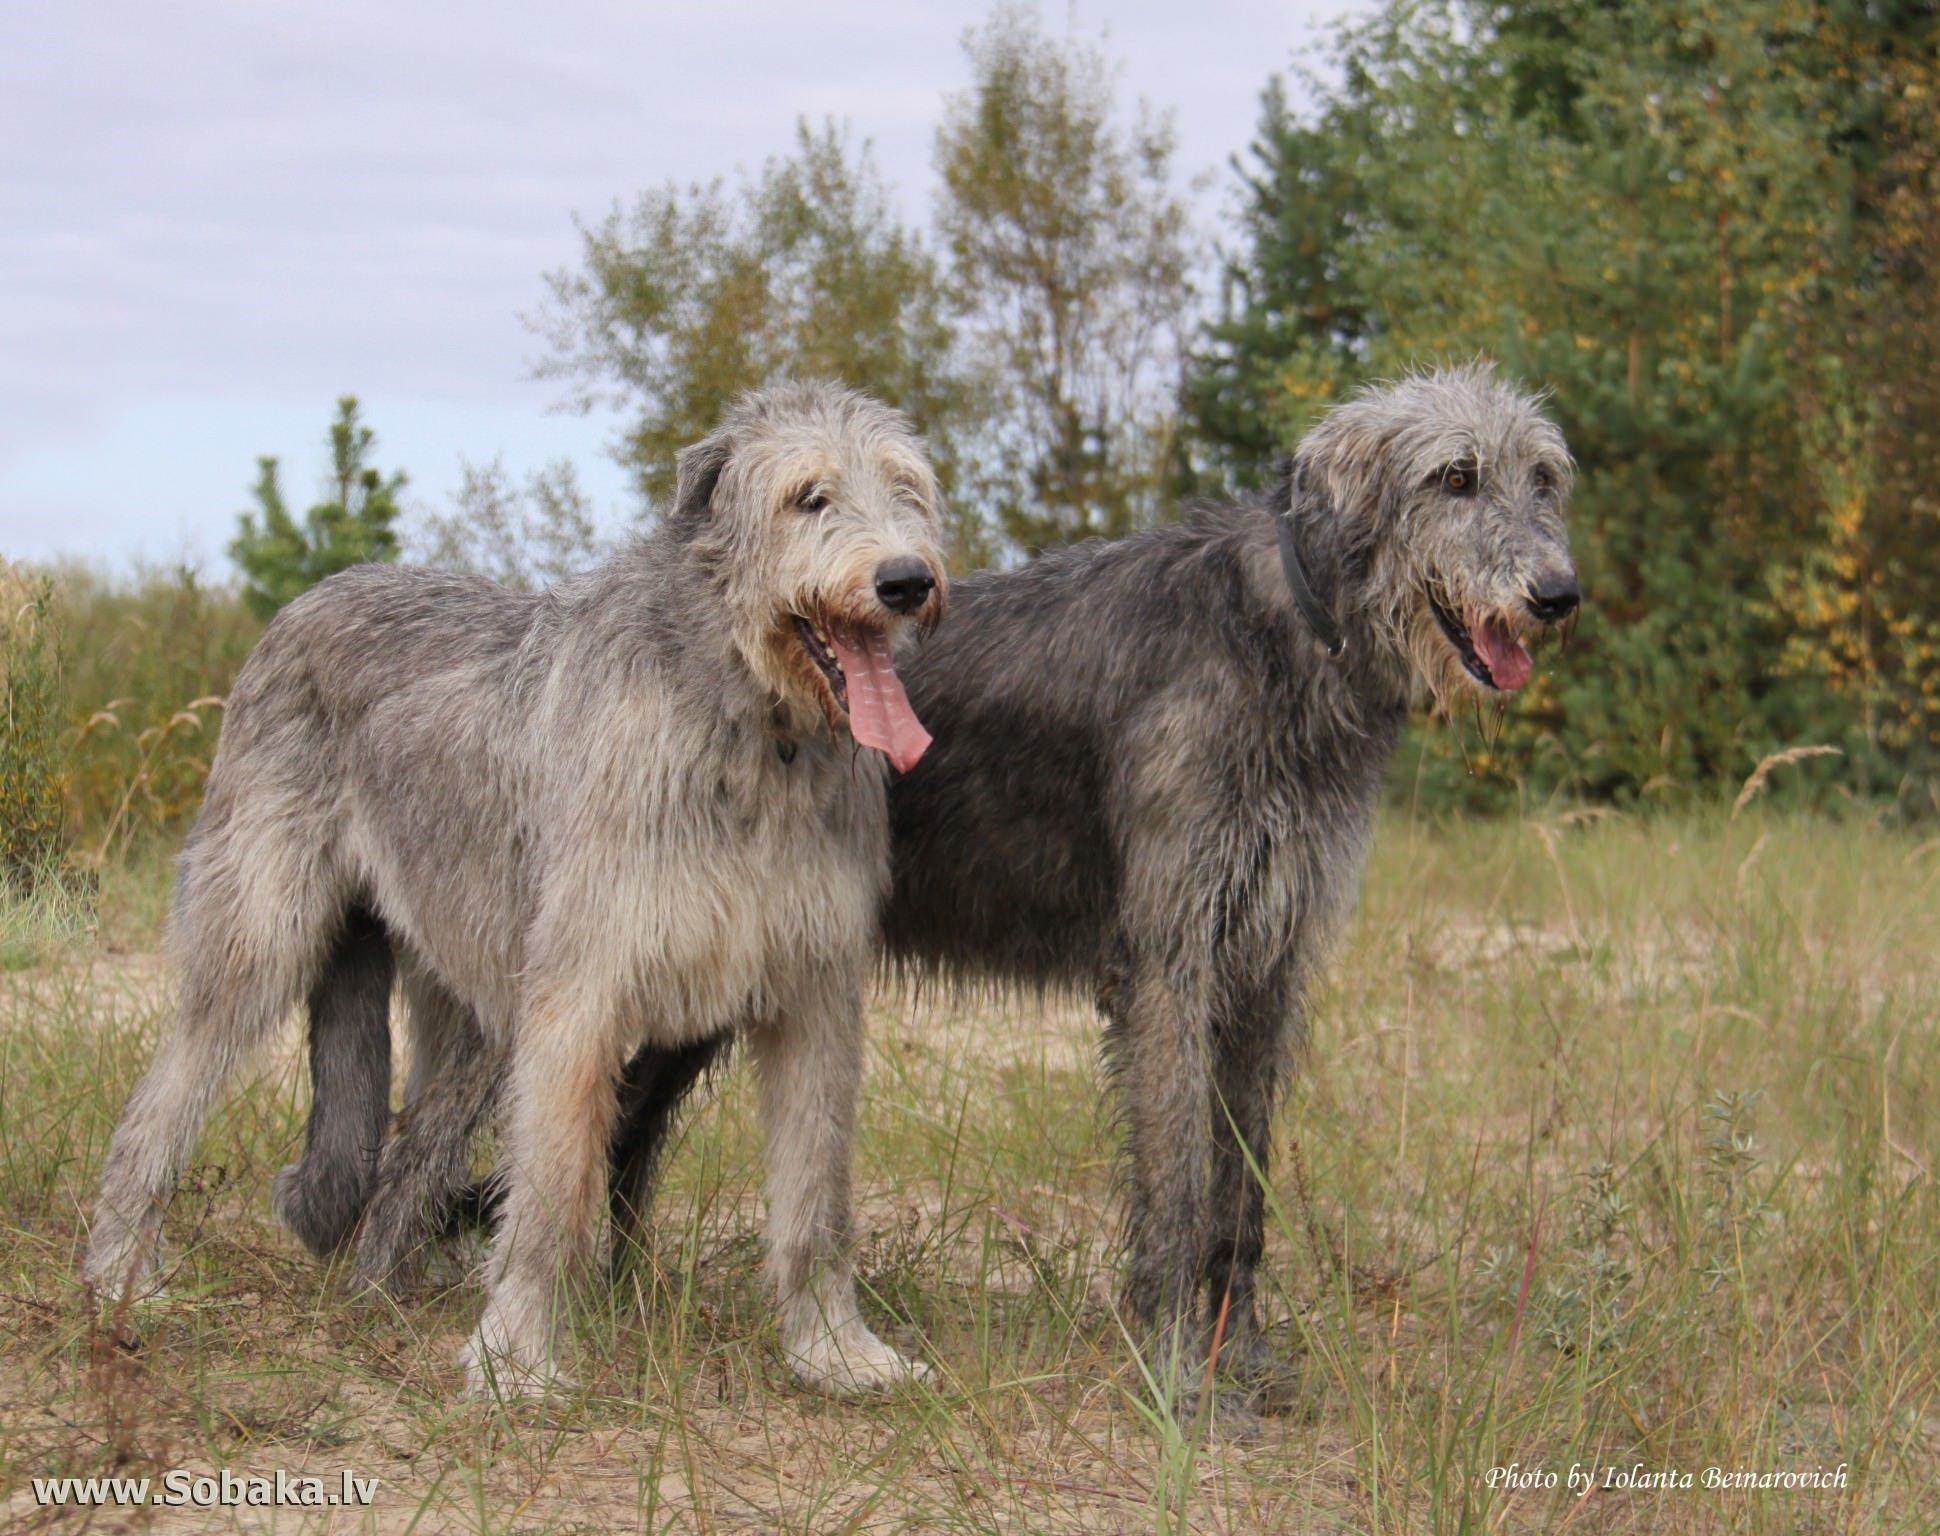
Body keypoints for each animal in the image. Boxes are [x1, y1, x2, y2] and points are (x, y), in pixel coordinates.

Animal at [81, 380, 946, 1388]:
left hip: (468, 993)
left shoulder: (815, 994)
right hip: (264, 936)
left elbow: (817, 1198)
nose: (906, 581)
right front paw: (517, 1363)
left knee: (408, 1147)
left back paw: (384, 1290)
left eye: (907, 489)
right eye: (809, 497)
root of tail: (318, 591)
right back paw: (121, 1276)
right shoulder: (579, 994)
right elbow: (552, 1194)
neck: (750, 730)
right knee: (159, 1107)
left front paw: (835, 1352)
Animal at [283, 360, 1575, 1427]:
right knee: (430, 1143)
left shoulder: (1264, 965)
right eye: (1453, 477)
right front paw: (1177, 1378)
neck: (1279, 637)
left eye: (1544, 478)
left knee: (621, 1141)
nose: (1557, 593)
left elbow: (1239, 1194)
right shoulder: (1167, 964)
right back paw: (393, 1298)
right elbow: (1174, 1188)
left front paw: (1244, 1358)